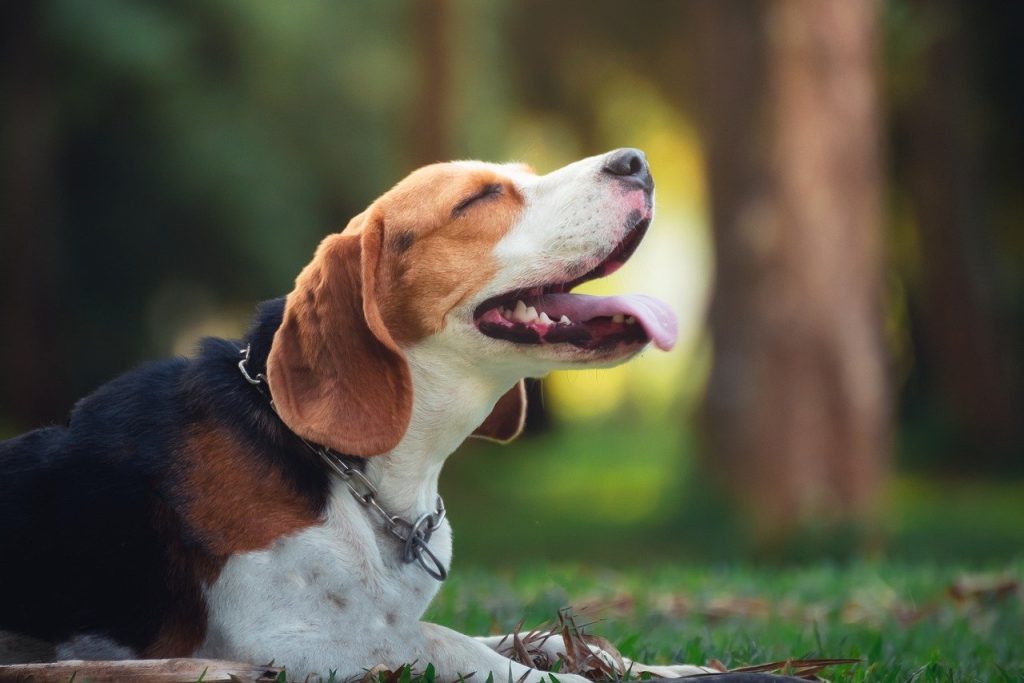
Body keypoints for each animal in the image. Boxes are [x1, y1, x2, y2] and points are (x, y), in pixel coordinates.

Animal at [0, 152, 761, 679]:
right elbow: (454, 648)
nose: (636, 161)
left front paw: (667, 667)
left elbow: (544, 639)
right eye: (480, 197)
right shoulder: (298, 641)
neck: (363, 478)